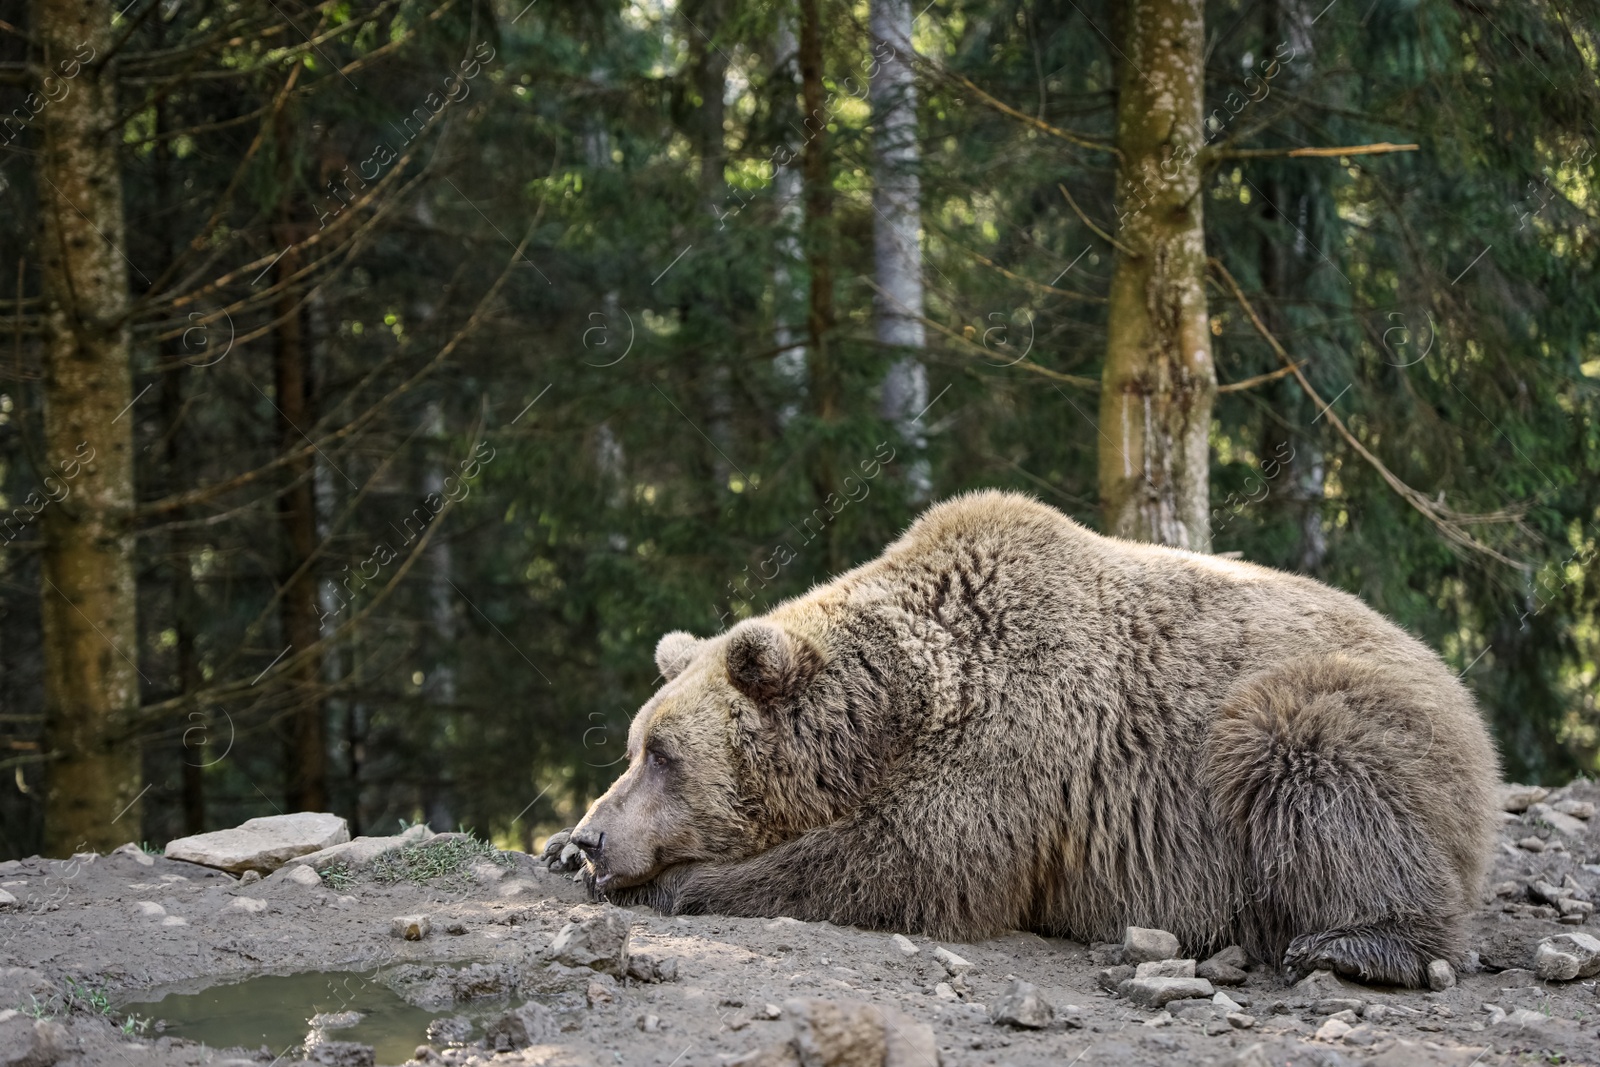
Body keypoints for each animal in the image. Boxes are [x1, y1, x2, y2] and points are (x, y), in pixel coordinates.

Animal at [547, 489, 1497, 985]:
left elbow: (906, 861)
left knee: (1305, 754)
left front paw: (682, 884)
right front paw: (557, 848)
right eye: (634, 745)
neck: (897, 709)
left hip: (1325, 708)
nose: (595, 837)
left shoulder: (1020, 751)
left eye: (665, 754)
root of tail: (1454, 682)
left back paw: (1353, 943)